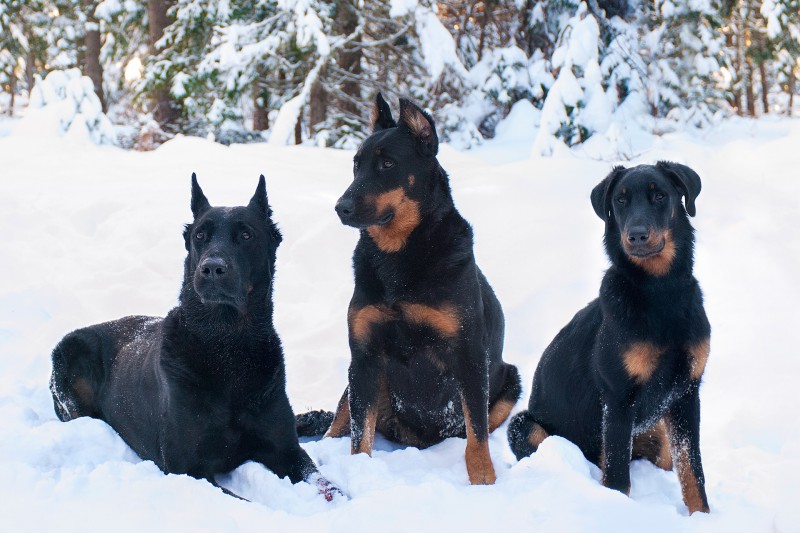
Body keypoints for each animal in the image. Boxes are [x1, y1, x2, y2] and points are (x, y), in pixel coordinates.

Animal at [47, 174, 340, 498]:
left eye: (246, 235)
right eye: (200, 236)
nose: (212, 268)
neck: (228, 344)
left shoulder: (287, 451)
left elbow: (327, 485)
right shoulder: (188, 469)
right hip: (70, 357)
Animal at [510, 161, 708, 512]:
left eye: (660, 195)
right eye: (620, 200)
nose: (637, 235)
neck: (661, 293)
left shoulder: (687, 393)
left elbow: (693, 472)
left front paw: (704, 516)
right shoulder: (617, 397)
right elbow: (617, 477)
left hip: (656, 432)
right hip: (523, 425)